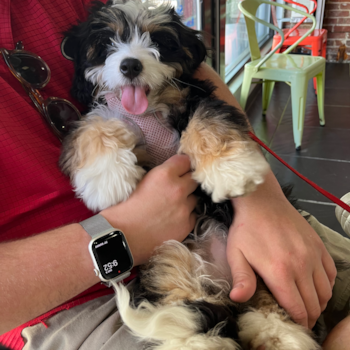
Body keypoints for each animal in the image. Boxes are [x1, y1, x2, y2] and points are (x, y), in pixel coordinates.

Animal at [59, 1, 320, 348]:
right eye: (106, 43)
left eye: (158, 40)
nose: (130, 66)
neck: (147, 110)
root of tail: (224, 280)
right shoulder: (101, 112)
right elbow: (93, 127)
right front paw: (107, 181)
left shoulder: (195, 98)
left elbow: (206, 122)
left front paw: (229, 171)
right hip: (171, 261)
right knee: (191, 307)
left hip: (262, 273)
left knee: (264, 301)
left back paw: (282, 335)